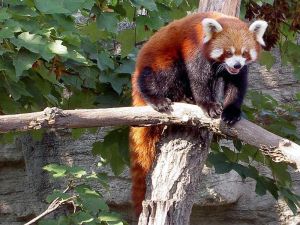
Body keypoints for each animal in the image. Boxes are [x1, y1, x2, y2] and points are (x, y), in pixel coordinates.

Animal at [129, 11, 268, 215]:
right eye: (228, 52)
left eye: (244, 53)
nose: (236, 65)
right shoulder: (194, 49)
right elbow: (199, 79)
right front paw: (208, 105)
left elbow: (236, 85)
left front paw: (231, 112)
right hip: (159, 62)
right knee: (162, 75)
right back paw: (158, 99)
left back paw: (187, 99)